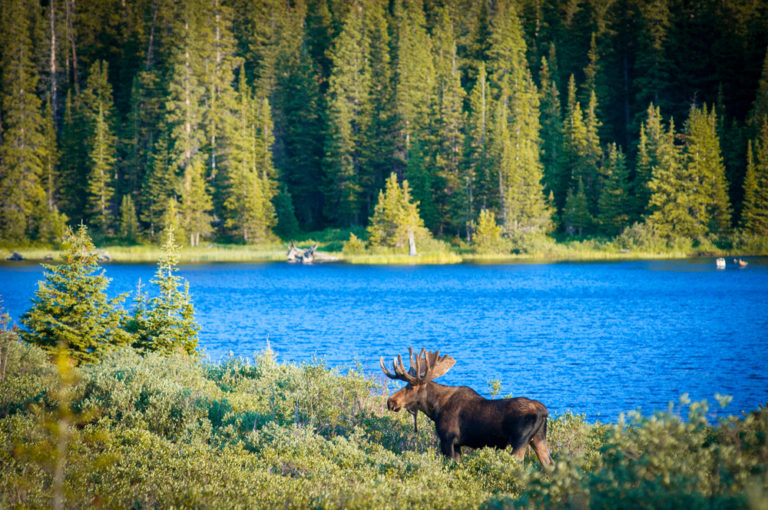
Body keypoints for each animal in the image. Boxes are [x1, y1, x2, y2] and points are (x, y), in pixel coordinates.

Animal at [380, 348, 553, 466]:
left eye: (410, 386)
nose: (391, 402)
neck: (435, 409)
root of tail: (544, 412)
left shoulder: (448, 440)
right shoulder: (457, 444)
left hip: (519, 440)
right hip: (538, 439)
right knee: (549, 464)